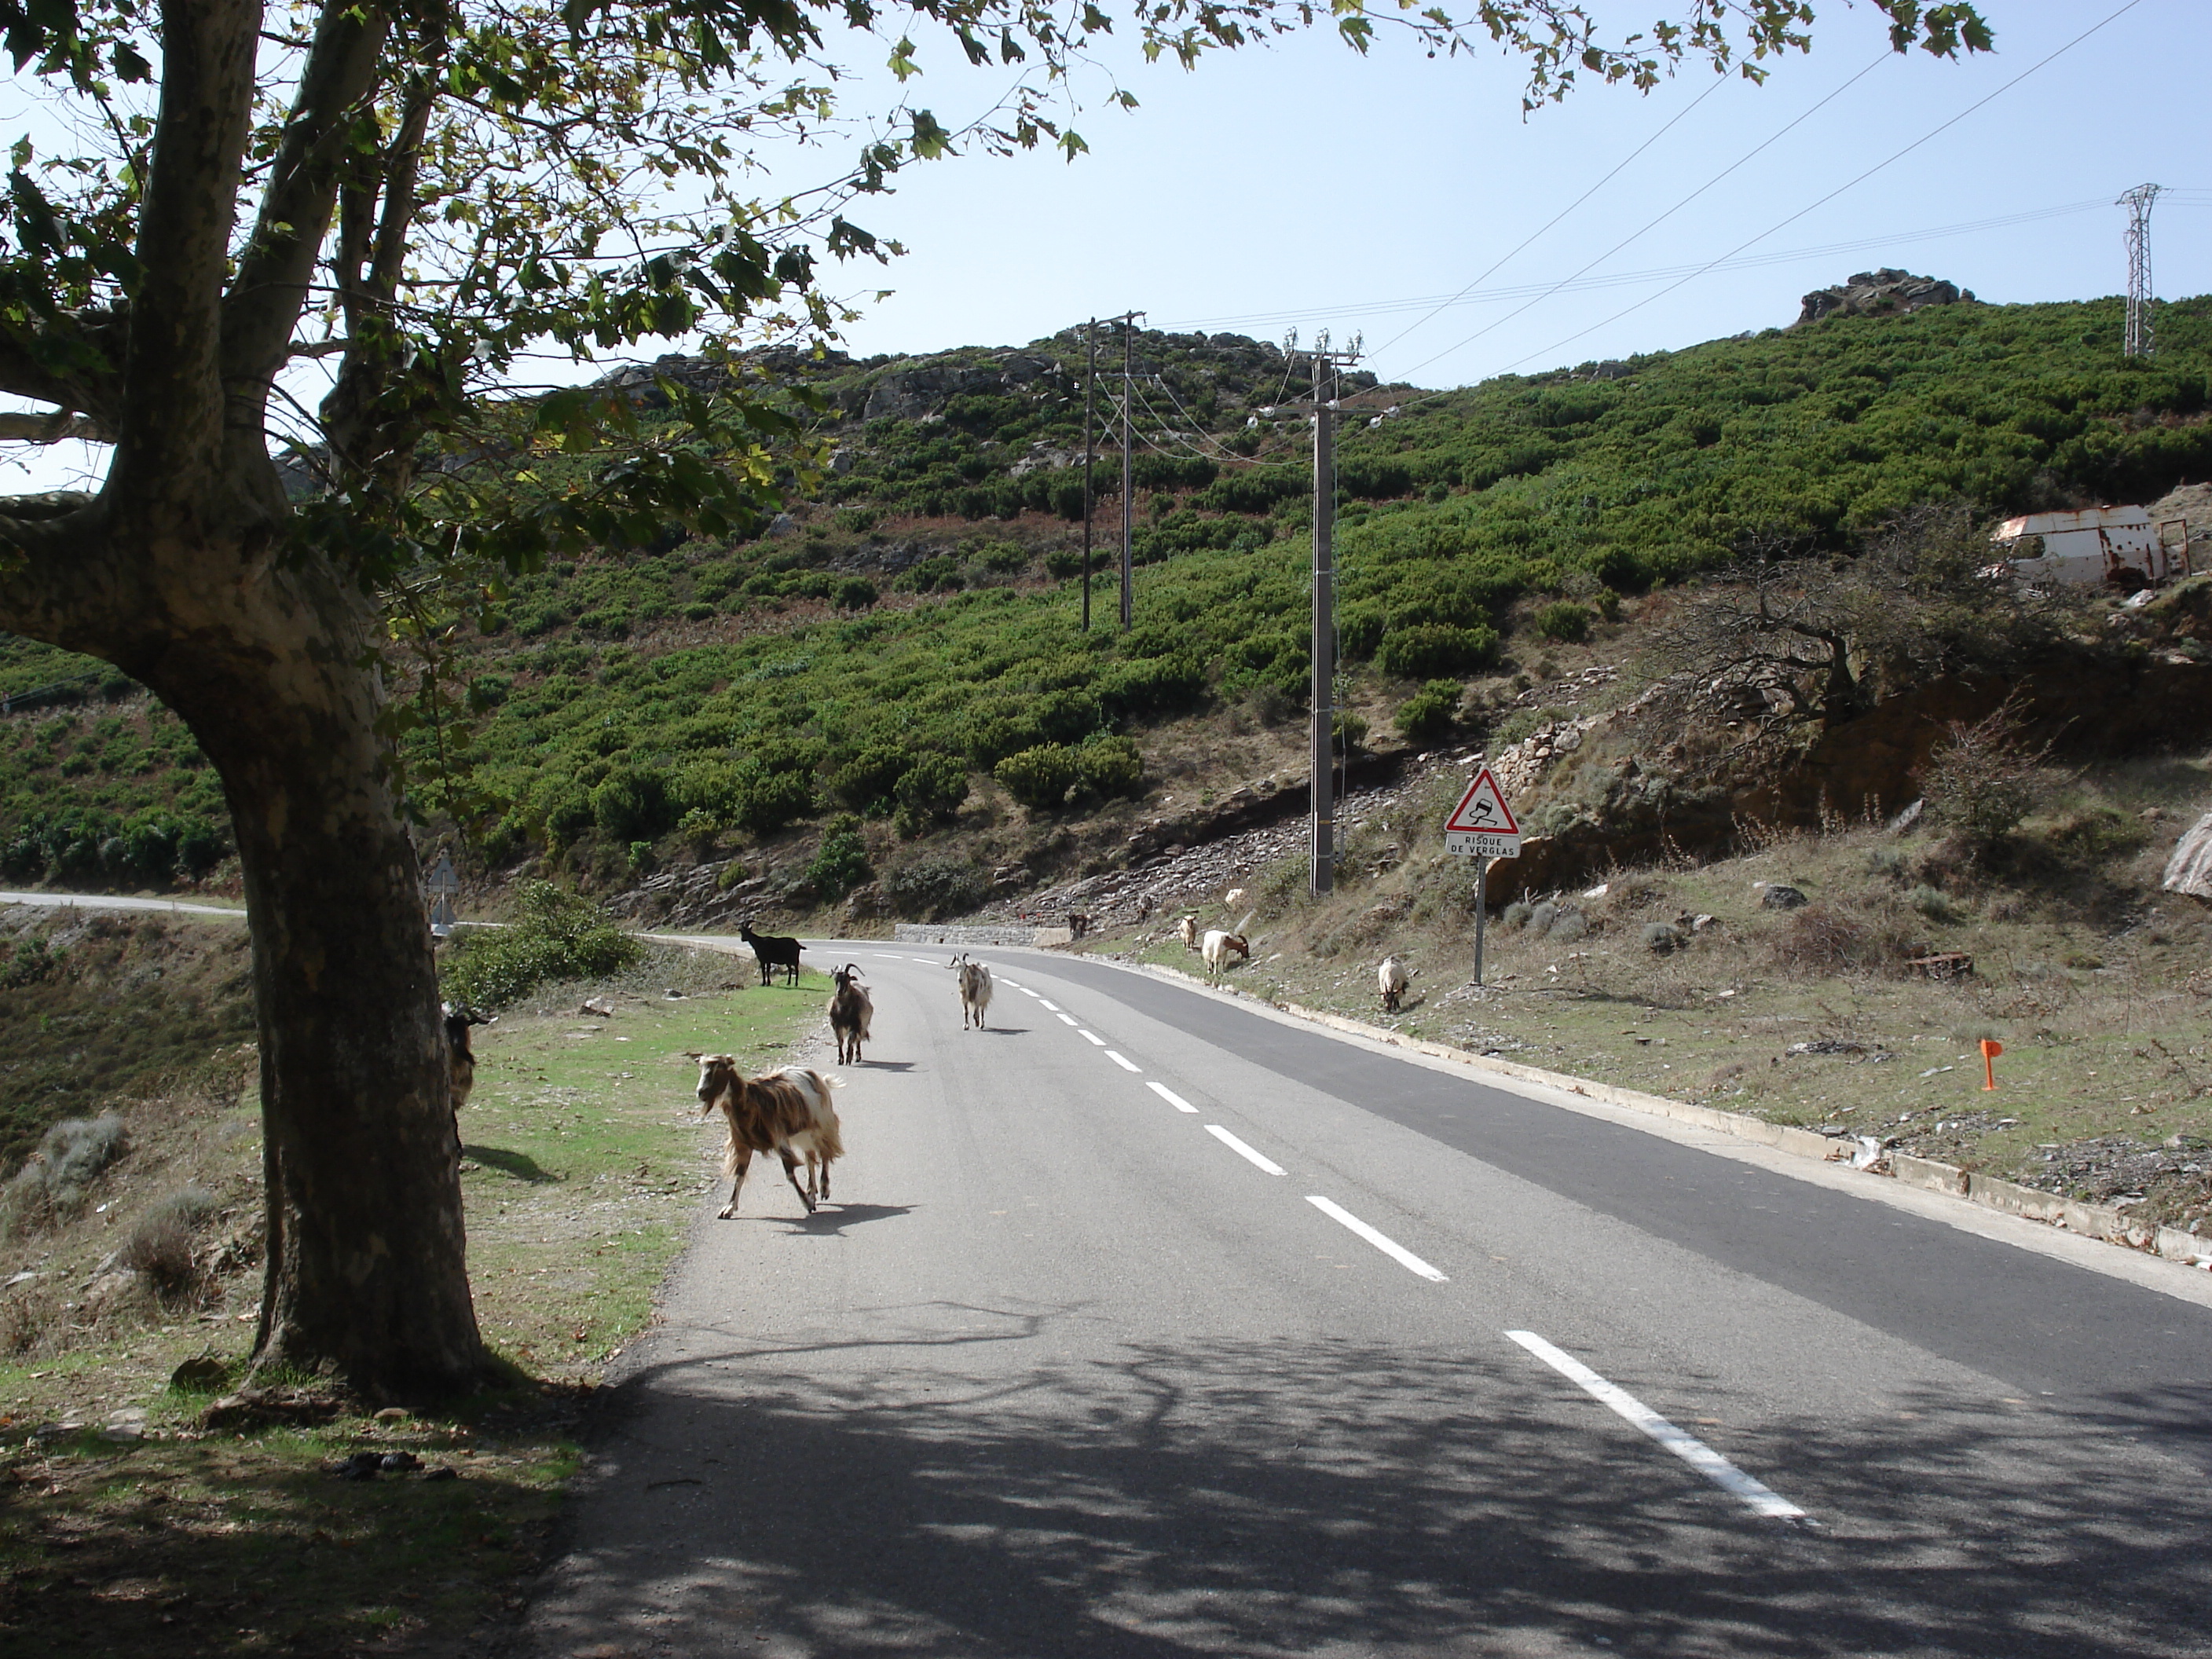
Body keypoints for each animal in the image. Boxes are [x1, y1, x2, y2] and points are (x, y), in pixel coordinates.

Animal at [690, 1053, 844, 1221]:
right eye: (701, 1068)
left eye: (719, 1069)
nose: (701, 1092)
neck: (750, 1104)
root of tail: (813, 1075)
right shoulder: (742, 1144)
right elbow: (740, 1174)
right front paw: (729, 1208)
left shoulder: (779, 1140)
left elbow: (790, 1173)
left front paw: (807, 1203)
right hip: (801, 1133)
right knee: (810, 1158)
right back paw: (812, 1191)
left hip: (821, 1124)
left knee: (825, 1152)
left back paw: (824, 1189)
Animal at [831, 969, 871, 1070]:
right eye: (836, 979)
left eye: (847, 980)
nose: (839, 992)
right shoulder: (837, 1025)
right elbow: (840, 1041)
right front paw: (840, 1060)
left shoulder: (855, 1025)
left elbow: (850, 1041)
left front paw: (848, 1058)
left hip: (862, 1025)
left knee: (857, 1039)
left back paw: (857, 1056)